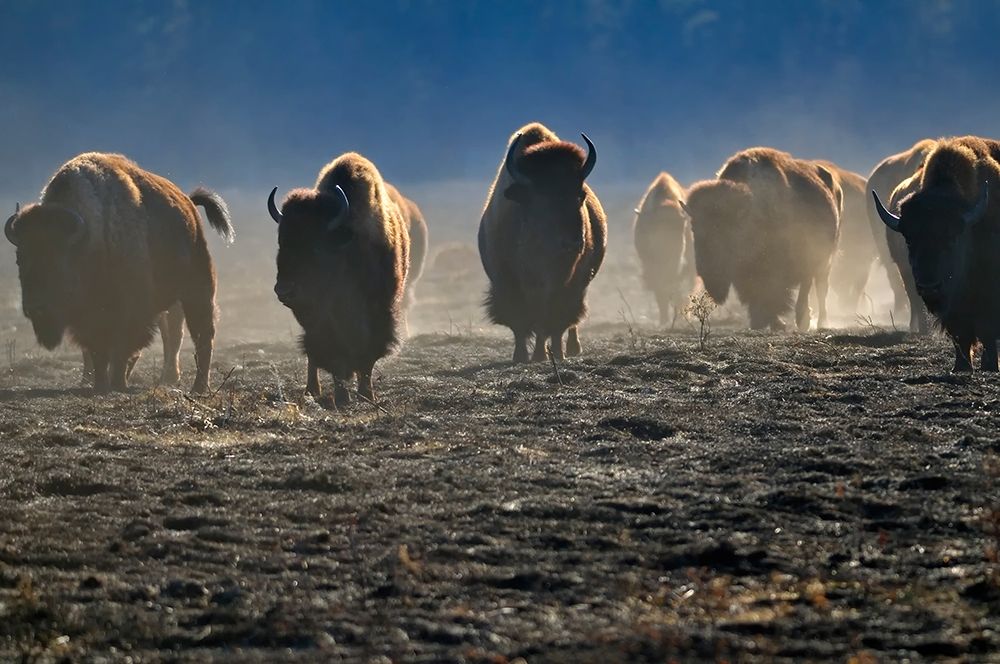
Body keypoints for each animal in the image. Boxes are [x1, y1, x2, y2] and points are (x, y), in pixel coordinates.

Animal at [4, 152, 233, 393]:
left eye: (60, 260)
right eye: (20, 259)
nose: (34, 307)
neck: (89, 239)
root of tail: (188, 204)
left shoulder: (130, 311)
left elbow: (122, 348)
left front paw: (118, 383)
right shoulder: (89, 319)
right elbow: (98, 351)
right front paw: (100, 384)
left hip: (197, 291)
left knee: (201, 335)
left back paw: (198, 387)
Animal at [267, 152, 409, 405]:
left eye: (316, 246)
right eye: (281, 243)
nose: (283, 290)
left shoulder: (380, 313)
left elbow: (368, 359)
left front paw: (367, 395)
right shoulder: (322, 324)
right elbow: (335, 359)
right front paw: (342, 398)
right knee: (313, 357)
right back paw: (312, 390)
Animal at [478, 122, 607, 363]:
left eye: (580, 195)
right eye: (543, 199)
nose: (573, 242)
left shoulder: (567, 285)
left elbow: (554, 322)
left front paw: (551, 354)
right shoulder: (509, 284)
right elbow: (521, 323)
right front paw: (521, 356)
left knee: (569, 321)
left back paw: (570, 348)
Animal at [683, 148, 840, 331]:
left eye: (726, 231)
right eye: (694, 228)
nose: (706, 271)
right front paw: (766, 322)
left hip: (825, 258)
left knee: (818, 287)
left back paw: (815, 322)